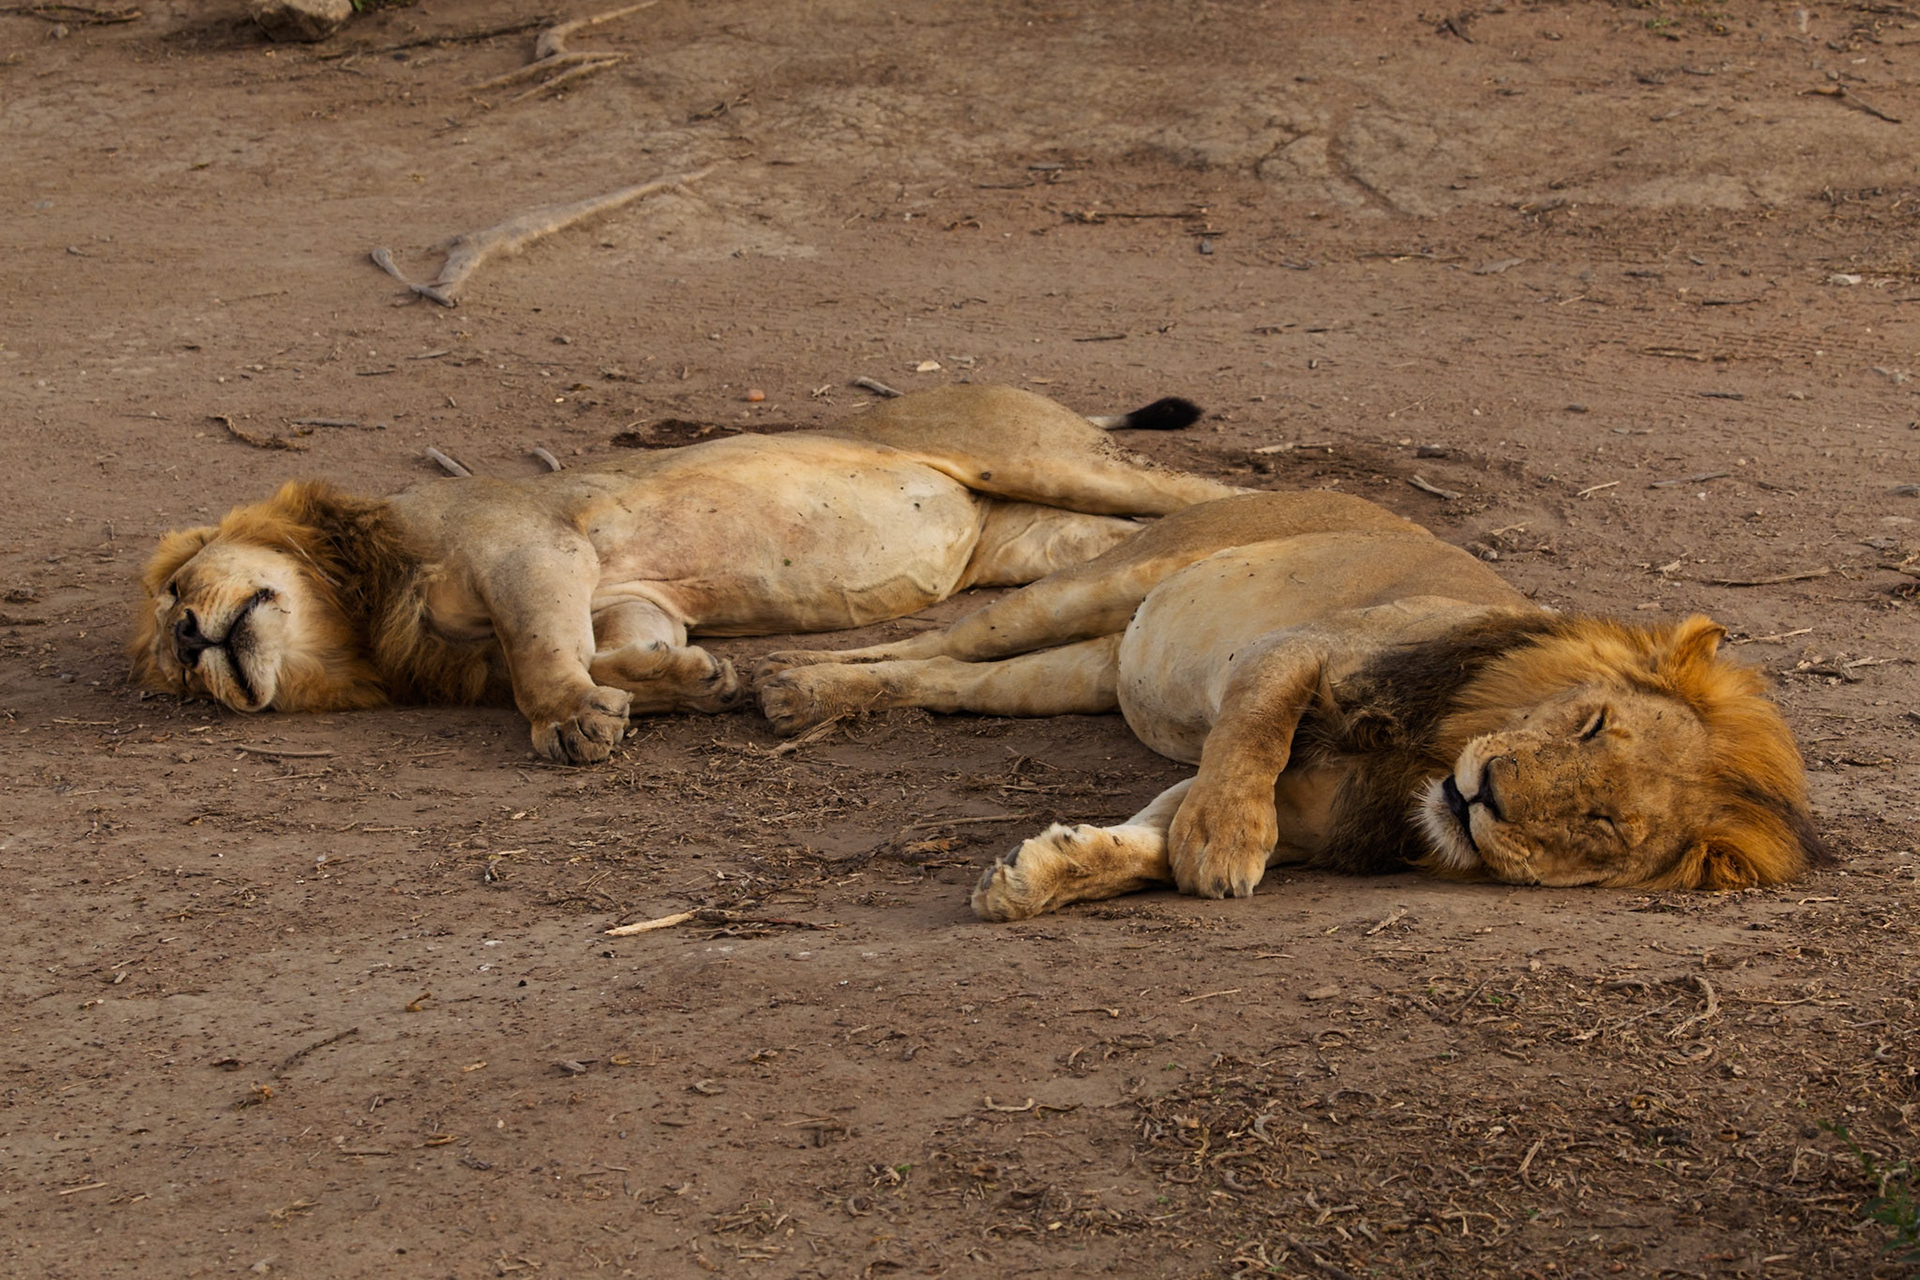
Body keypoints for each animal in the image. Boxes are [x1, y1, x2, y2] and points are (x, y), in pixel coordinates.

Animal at [130, 384, 1241, 763]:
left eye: (178, 589)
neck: (364, 621)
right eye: (174, 674)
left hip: (1036, 457)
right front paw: (694, 681)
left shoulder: (529, 548)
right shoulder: (622, 596)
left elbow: (538, 659)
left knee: (1201, 487)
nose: (189, 639)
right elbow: (619, 653)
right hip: (1037, 537)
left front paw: (570, 725)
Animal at [754, 491, 1828, 918]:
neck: (1425, 765)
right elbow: (1248, 743)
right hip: (1103, 581)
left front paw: (1049, 874)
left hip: (1077, 671)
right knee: (934, 641)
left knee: (954, 682)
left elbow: (1152, 838)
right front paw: (1224, 839)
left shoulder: (1316, 820)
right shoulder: (1307, 650)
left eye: (1601, 825)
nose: (1483, 794)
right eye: (1589, 722)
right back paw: (783, 686)